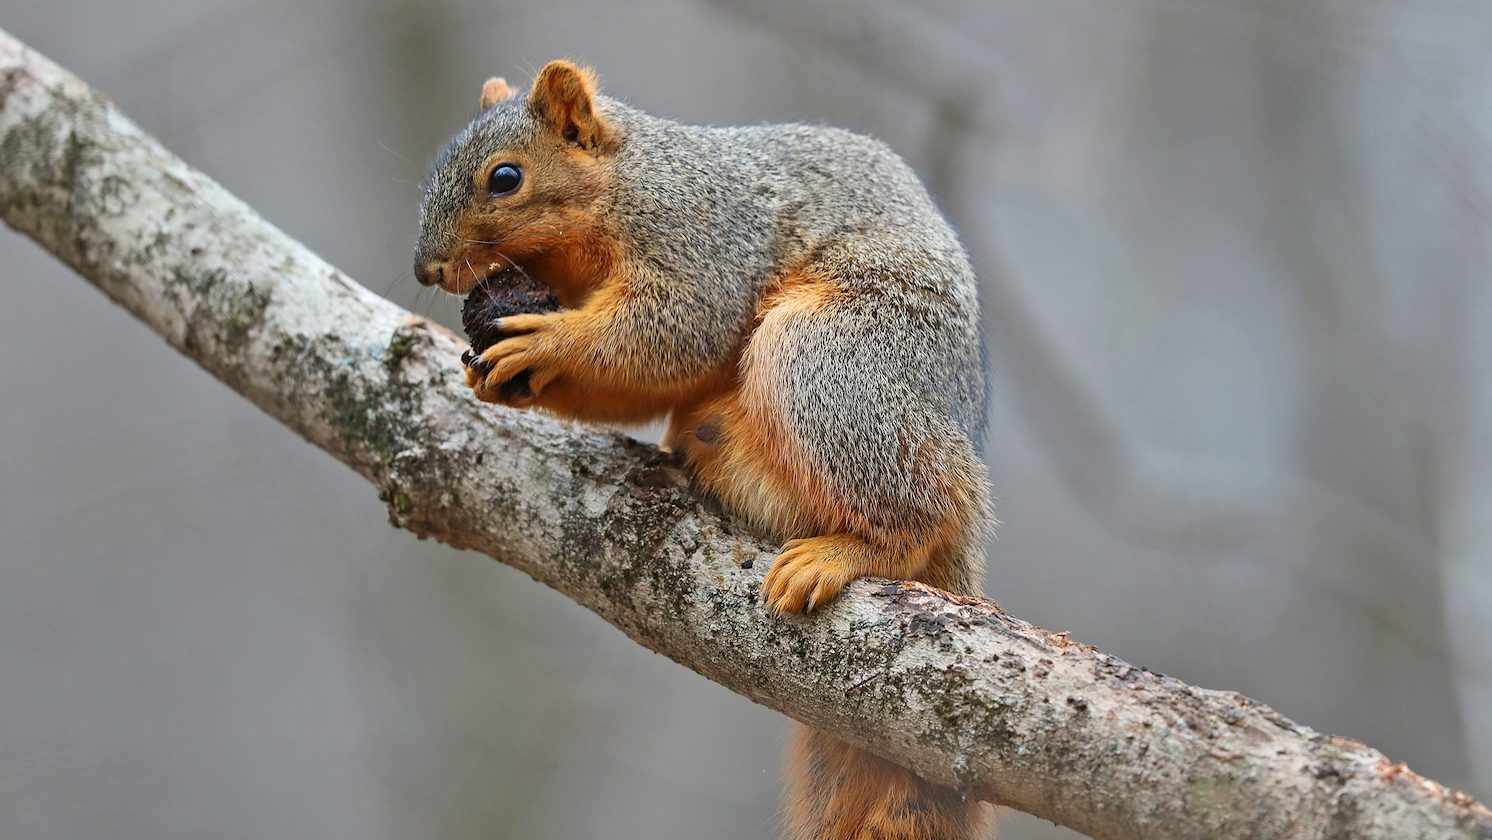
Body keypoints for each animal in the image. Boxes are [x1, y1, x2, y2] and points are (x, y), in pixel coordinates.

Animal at [415, 62, 994, 840]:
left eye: (505, 178)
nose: (426, 269)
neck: (624, 183)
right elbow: (642, 384)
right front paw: (499, 378)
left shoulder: (703, 238)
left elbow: (678, 327)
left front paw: (548, 341)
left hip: (831, 364)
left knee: (920, 509)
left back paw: (850, 552)